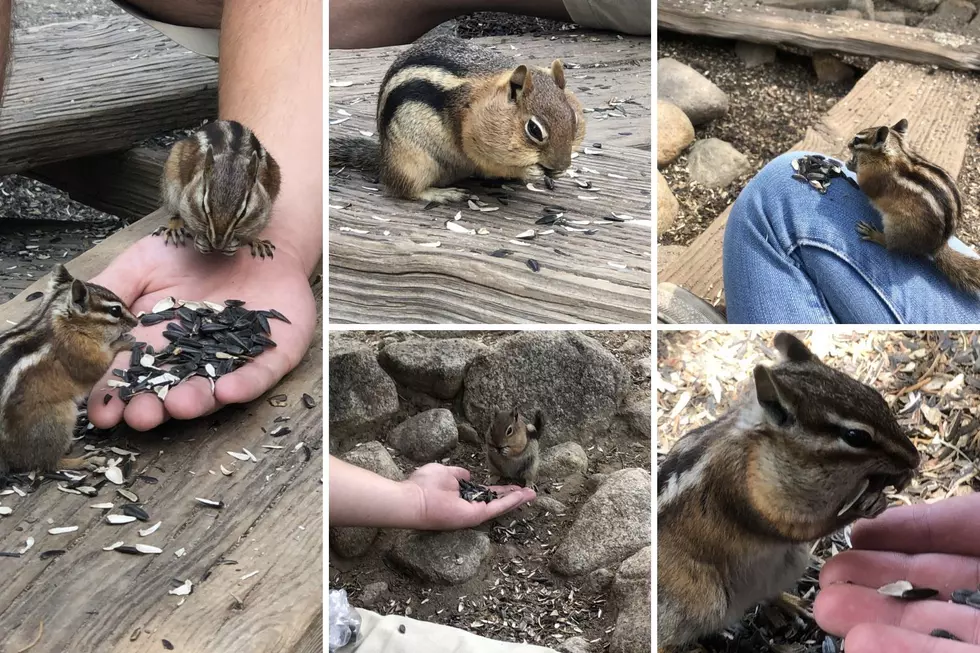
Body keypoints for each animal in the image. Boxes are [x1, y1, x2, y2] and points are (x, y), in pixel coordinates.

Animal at [0, 265, 138, 474]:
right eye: (115, 310)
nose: (137, 321)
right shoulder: (80, 353)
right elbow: (99, 365)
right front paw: (124, 342)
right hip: (56, 419)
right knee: (47, 464)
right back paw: (81, 461)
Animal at [152, 119, 282, 259]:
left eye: (243, 213)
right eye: (203, 206)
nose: (218, 244)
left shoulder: (263, 210)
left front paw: (248, 241)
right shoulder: (187, 202)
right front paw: (200, 241)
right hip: (171, 180)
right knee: (174, 211)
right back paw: (175, 228)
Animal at [329, 33, 586, 204]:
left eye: (573, 118)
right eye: (534, 129)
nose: (562, 165)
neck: (485, 99)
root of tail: (383, 158)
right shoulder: (474, 142)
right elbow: (490, 161)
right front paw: (532, 170)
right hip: (412, 161)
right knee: (403, 188)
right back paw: (441, 193)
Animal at [657, 332, 920, 649]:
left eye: (875, 395)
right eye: (856, 436)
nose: (915, 458)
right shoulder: (741, 491)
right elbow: (802, 528)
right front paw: (865, 506)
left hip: (792, 561)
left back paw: (796, 603)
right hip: (704, 597)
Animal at [847, 118, 979, 292]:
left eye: (857, 141)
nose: (848, 144)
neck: (898, 153)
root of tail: (939, 246)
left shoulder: (875, 179)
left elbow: (865, 186)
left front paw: (852, 165)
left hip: (898, 228)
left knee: (890, 245)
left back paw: (874, 234)